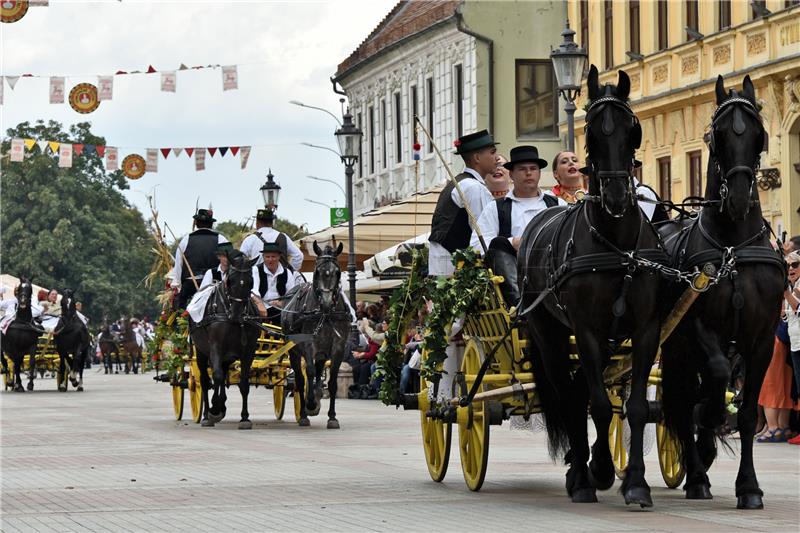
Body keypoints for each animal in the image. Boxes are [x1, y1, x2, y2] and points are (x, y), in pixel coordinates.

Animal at [191, 249, 260, 428]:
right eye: (230, 280)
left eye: (250, 282)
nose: (237, 314)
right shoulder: (215, 347)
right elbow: (216, 376)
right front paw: (214, 409)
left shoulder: (248, 350)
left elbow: (243, 383)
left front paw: (244, 417)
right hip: (201, 352)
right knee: (205, 380)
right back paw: (207, 415)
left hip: (227, 356)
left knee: (222, 374)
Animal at [282, 241, 352, 428]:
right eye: (317, 271)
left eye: (337, 272)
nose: (326, 302)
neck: (325, 314)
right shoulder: (308, 344)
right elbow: (310, 372)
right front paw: (310, 404)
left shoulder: (338, 347)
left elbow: (332, 381)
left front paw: (332, 416)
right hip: (294, 351)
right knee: (300, 379)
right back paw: (304, 411)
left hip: (321, 352)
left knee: (319, 372)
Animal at [520, 64, 664, 504]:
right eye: (594, 133)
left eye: (632, 129)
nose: (616, 196)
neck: (617, 245)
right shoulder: (586, 330)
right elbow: (597, 405)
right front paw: (595, 471)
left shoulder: (645, 329)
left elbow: (634, 407)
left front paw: (635, 482)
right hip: (549, 334)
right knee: (569, 395)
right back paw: (581, 472)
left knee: (581, 390)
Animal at [660, 75, 784, 508]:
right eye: (716, 135)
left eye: (759, 134)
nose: (739, 198)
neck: (731, 246)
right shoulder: (700, 328)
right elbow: (713, 381)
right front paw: (710, 423)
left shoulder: (761, 339)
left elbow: (746, 412)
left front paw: (749, 487)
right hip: (674, 347)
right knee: (682, 403)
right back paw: (697, 473)